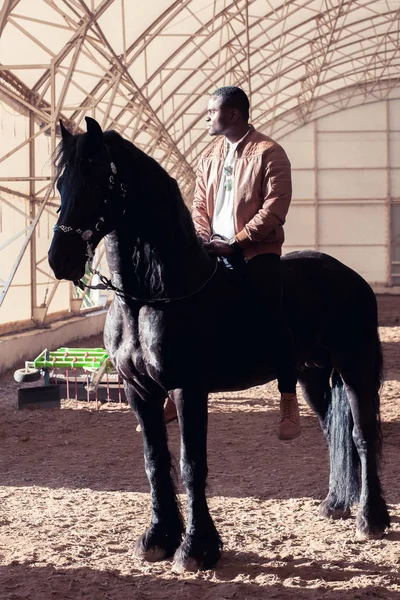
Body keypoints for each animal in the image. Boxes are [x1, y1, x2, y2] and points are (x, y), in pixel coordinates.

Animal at [48, 116, 390, 572]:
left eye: (97, 177)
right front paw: (157, 539)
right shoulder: (139, 391)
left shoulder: (187, 389)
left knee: (363, 435)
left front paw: (196, 548)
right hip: (313, 376)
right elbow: (155, 462)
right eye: (61, 182)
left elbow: (192, 464)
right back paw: (336, 504)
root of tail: (349, 276)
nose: (59, 260)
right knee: (333, 431)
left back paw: (372, 519)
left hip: (356, 367)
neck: (151, 295)